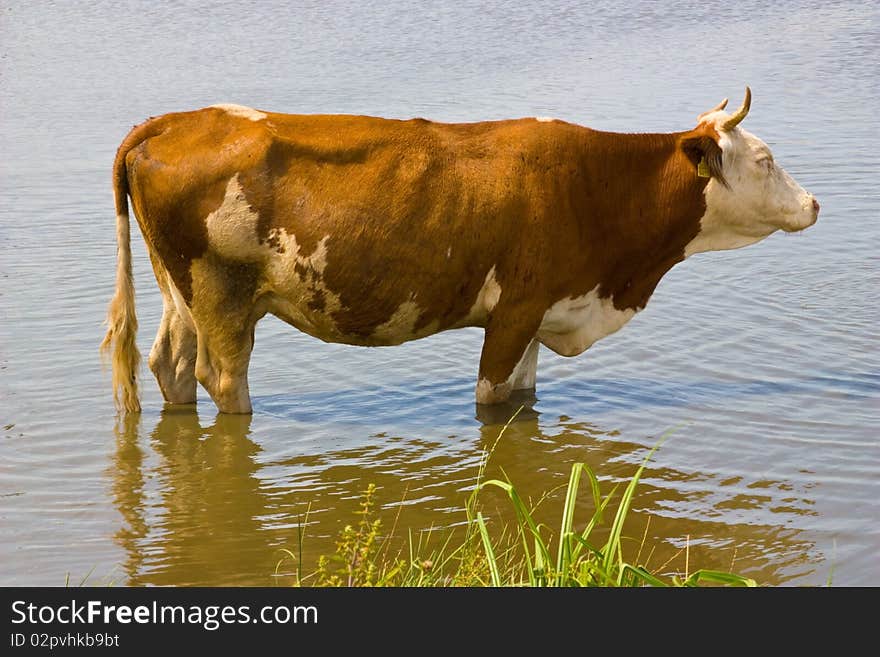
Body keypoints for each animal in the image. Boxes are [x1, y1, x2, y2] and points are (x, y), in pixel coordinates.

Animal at [101, 89, 820, 412]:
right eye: (765, 159)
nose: (814, 203)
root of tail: (173, 121)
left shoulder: (544, 309)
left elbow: (523, 401)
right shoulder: (516, 310)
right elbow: (492, 399)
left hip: (181, 290)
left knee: (169, 363)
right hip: (221, 294)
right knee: (221, 379)